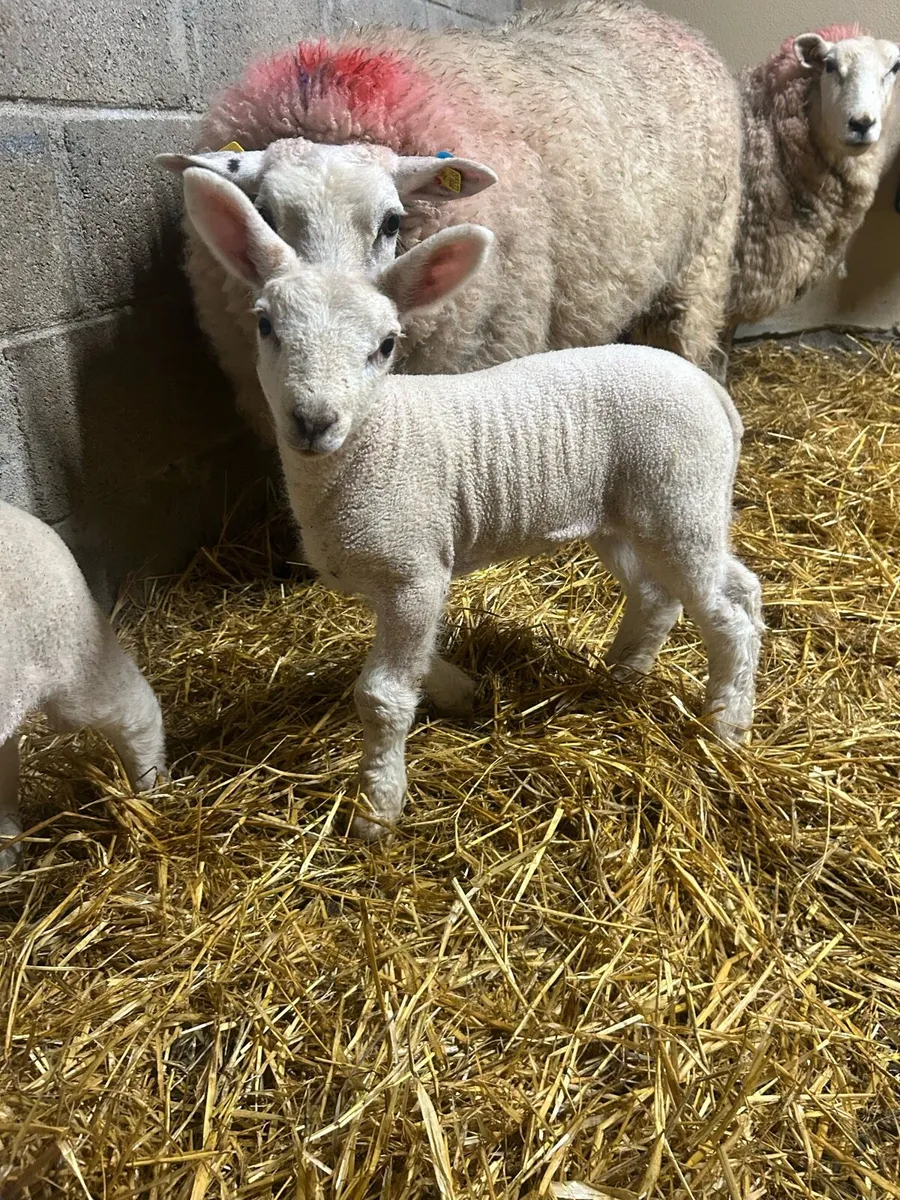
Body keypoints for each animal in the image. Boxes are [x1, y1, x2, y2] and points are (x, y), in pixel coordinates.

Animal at [183, 167, 764, 841]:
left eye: (386, 345)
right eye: (265, 325)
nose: (313, 421)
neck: (371, 442)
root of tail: (709, 389)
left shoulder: (411, 569)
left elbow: (382, 696)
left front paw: (377, 810)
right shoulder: (390, 574)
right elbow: (414, 658)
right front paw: (460, 692)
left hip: (679, 497)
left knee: (726, 612)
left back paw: (726, 723)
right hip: (632, 514)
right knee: (672, 592)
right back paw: (623, 671)